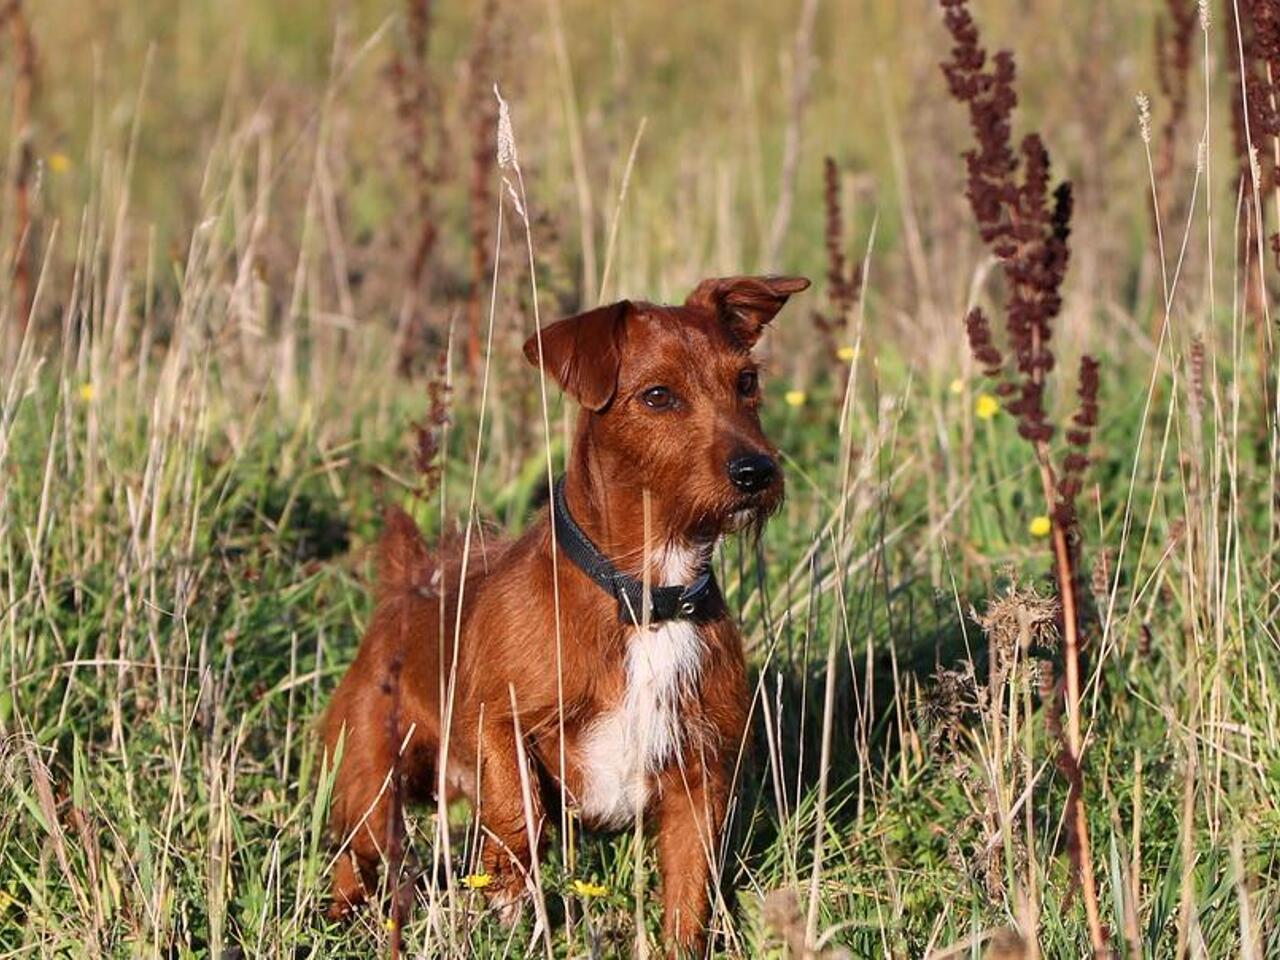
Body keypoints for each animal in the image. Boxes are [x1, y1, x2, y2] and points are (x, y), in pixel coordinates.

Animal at [325, 272, 814, 957]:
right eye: (658, 395)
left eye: (746, 381)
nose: (757, 471)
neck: (644, 598)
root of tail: (404, 589)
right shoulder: (493, 717)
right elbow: (519, 805)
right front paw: (508, 891)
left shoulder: (699, 782)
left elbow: (689, 900)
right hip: (370, 784)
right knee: (354, 856)